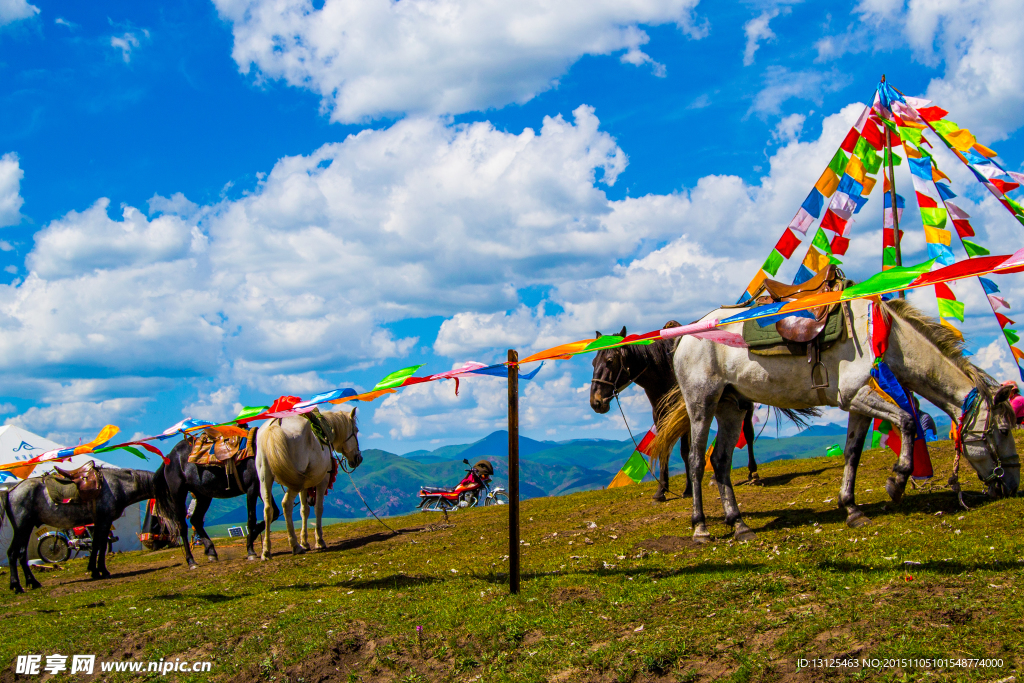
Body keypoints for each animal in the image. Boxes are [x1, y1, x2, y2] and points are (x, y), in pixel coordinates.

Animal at [2, 464, 157, 593]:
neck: (119, 485)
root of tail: (10, 491)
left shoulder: (99, 522)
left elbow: (96, 545)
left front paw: (94, 570)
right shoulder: (105, 520)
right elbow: (101, 545)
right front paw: (102, 571)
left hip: (25, 528)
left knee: (20, 554)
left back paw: (31, 582)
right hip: (22, 527)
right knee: (13, 553)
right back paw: (17, 585)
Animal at [151, 440, 280, 569]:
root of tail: (169, 457)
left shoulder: (262, 485)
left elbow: (273, 513)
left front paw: (251, 539)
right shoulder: (252, 486)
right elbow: (251, 519)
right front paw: (250, 550)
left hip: (203, 495)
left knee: (196, 520)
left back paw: (211, 552)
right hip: (178, 494)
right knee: (182, 526)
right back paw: (191, 561)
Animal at [253, 409, 362, 557]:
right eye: (356, 430)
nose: (359, 458)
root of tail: (274, 426)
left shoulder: (304, 486)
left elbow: (304, 510)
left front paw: (305, 542)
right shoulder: (322, 481)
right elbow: (318, 508)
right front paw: (319, 541)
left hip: (265, 478)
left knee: (268, 509)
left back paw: (266, 550)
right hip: (294, 482)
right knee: (286, 504)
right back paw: (295, 546)